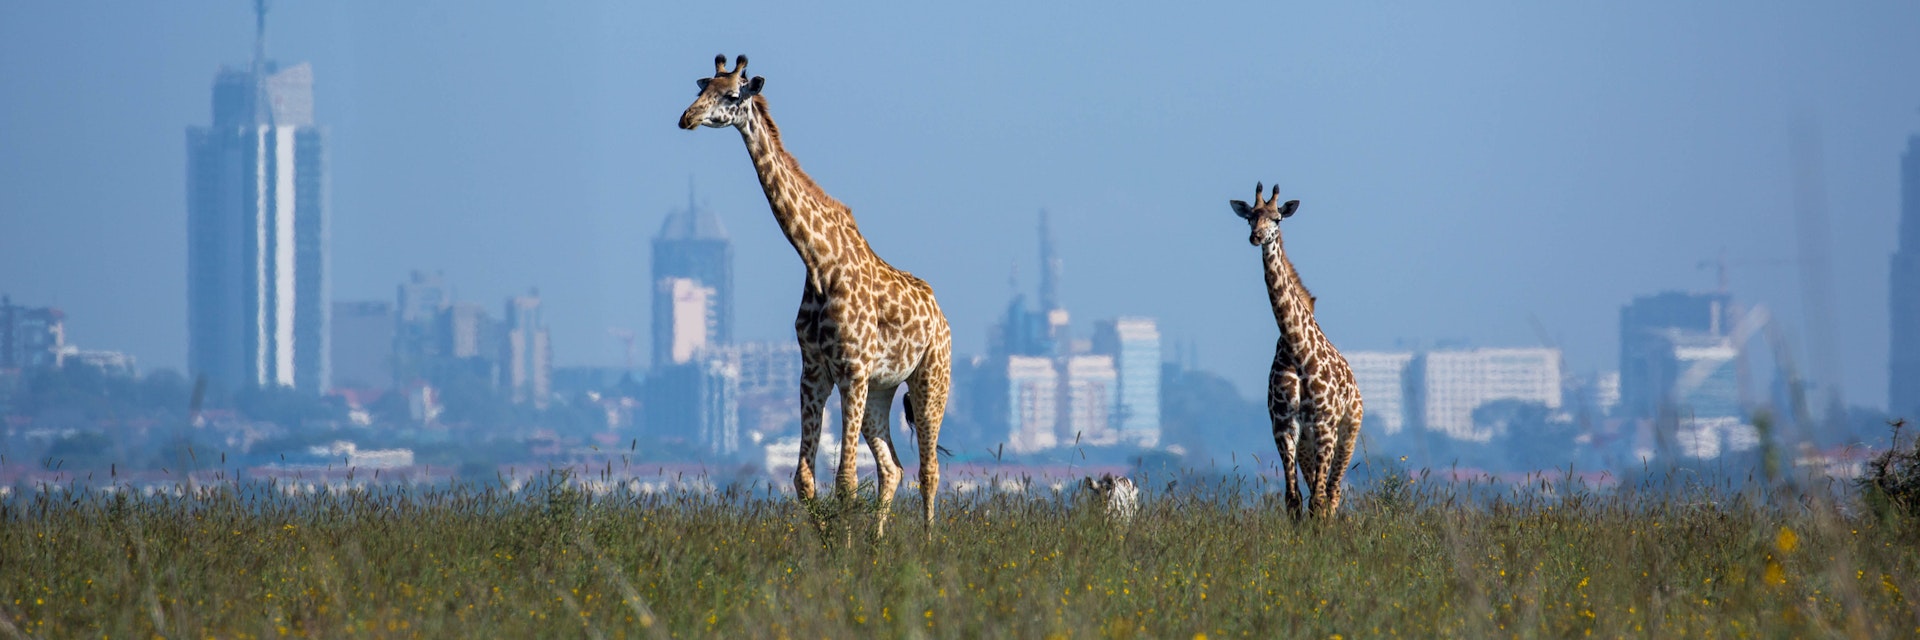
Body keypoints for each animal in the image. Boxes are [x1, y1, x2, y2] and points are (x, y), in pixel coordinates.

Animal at [680, 55, 952, 538]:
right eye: (701, 88)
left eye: (730, 95)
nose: (686, 118)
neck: (818, 261)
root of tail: (941, 316)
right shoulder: (814, 373)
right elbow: (804, 480)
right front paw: (829, 546)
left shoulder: (851, 371)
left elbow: (845, 480)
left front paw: (844, 549)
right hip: (882, 389)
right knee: (893, 468)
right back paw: (878, 542)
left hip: (930, 379)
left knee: (929, 469)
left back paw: (928, 542)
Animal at [1228, 182, 1364, 519]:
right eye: (1250, 217)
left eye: (1277, 219)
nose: (1256, 237)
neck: (1296, 347)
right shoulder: (1284, 427)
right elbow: (1293, 499)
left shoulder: (1324, 426)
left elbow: (1318, 499)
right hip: (1308, 443)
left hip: (1347, 432)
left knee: (1332, 492)